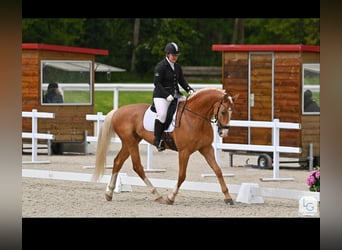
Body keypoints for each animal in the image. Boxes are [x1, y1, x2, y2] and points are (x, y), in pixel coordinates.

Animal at [93, 88, 238, 205]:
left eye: (232, 112)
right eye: (223, 112)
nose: (224, 133)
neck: (195, 117)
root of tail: (118, 111)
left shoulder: (206, 148)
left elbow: (218, 170)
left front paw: (228, 197)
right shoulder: (184, 152)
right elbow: (182, 175)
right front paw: (171, 198)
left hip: (130, 142)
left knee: (118, 162)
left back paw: (109, 193)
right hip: (131, 142)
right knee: (137, 167)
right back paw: (158, 195)